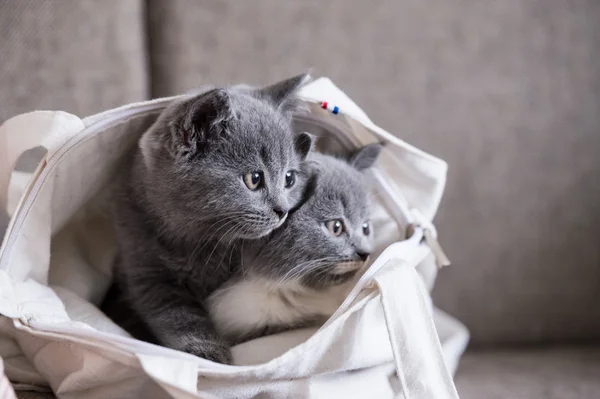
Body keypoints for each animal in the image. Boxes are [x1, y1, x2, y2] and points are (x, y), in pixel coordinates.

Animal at [106, 73, 316, 364]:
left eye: (289, 178)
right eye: (254, 178)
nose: (282, 210)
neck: (200, 241)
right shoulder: (146, 270)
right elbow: (180, 317)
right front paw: (208, 354)